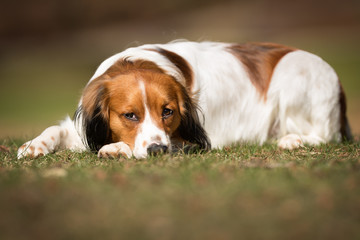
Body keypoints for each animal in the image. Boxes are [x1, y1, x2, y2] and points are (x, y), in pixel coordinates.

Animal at [17, 40, 352, 158]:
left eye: (168, 112)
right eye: (130, 115)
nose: (157, 151)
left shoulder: (192, 139)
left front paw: (116, 148)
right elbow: (57, 129)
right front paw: (34, 145)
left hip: (294, 71)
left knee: (327, 135)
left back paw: (292, 140)